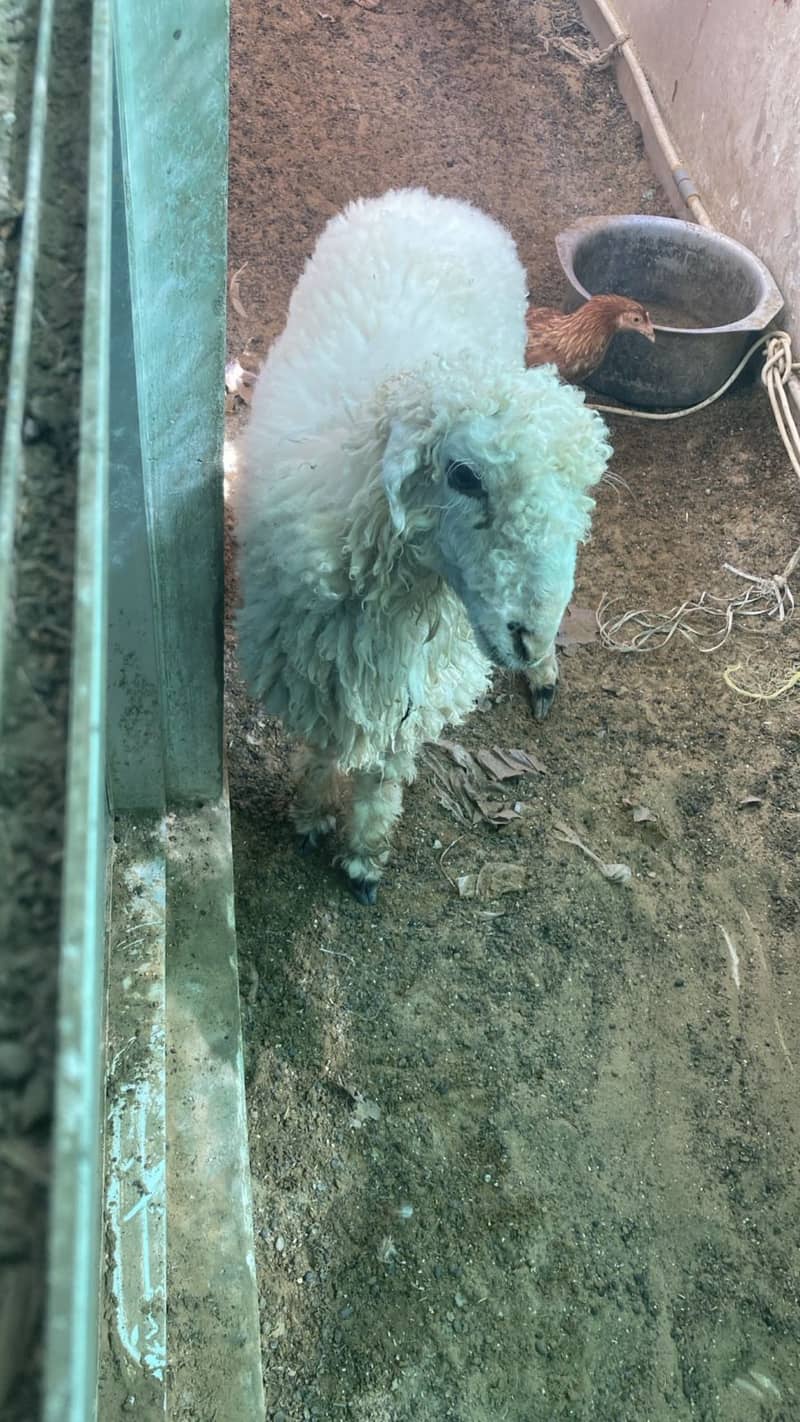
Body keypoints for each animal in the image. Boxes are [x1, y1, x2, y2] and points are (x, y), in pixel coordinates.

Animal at [233, 187, 611, 904]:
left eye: (584, 489)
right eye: (464, 476)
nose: (532, 636)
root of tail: (431, 200)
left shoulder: (420, 682)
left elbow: (385, 767)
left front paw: (363, 852)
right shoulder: (310, 661)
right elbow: (324, 746)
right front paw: (312, 813)